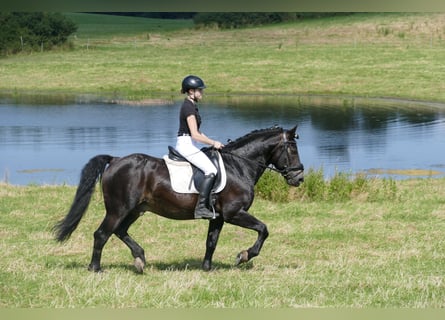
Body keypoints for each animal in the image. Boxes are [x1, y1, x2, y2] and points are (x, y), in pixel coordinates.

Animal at [52, 125, 302, 272]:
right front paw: (244, 255)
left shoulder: (218, 217)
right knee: (102, 234)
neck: (238, 166)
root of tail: (115, 160)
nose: (299, 178)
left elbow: (211, 241)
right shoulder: (234, 213)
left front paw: (207, 267)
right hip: (119, 209)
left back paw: (140, 259)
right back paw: (95, 268)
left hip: (136, 209)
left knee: (120, 231)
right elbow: (263, 229)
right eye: (292, 149)